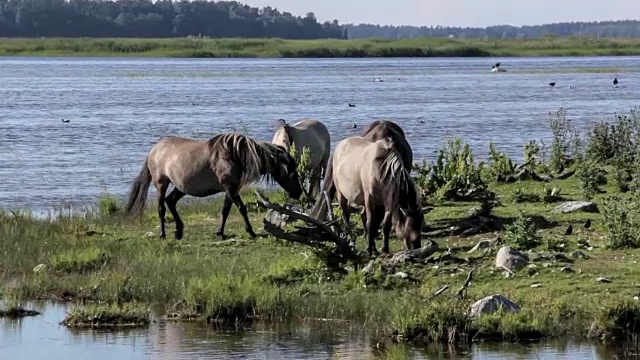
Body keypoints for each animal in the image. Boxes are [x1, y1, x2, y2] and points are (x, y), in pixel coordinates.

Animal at [127, 131, 304, 239]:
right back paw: (163, 235)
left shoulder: (231, 189)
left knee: (171, 201)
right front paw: (251, 231)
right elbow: (241, 208)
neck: (235, 155)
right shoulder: (231, 189)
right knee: (161, 208)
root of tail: (154, 150)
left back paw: (179, 231)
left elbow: (225, 210)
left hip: (181, 187)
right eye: (291, 171)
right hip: (161, 183)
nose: (298, 192)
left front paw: (220, 232)